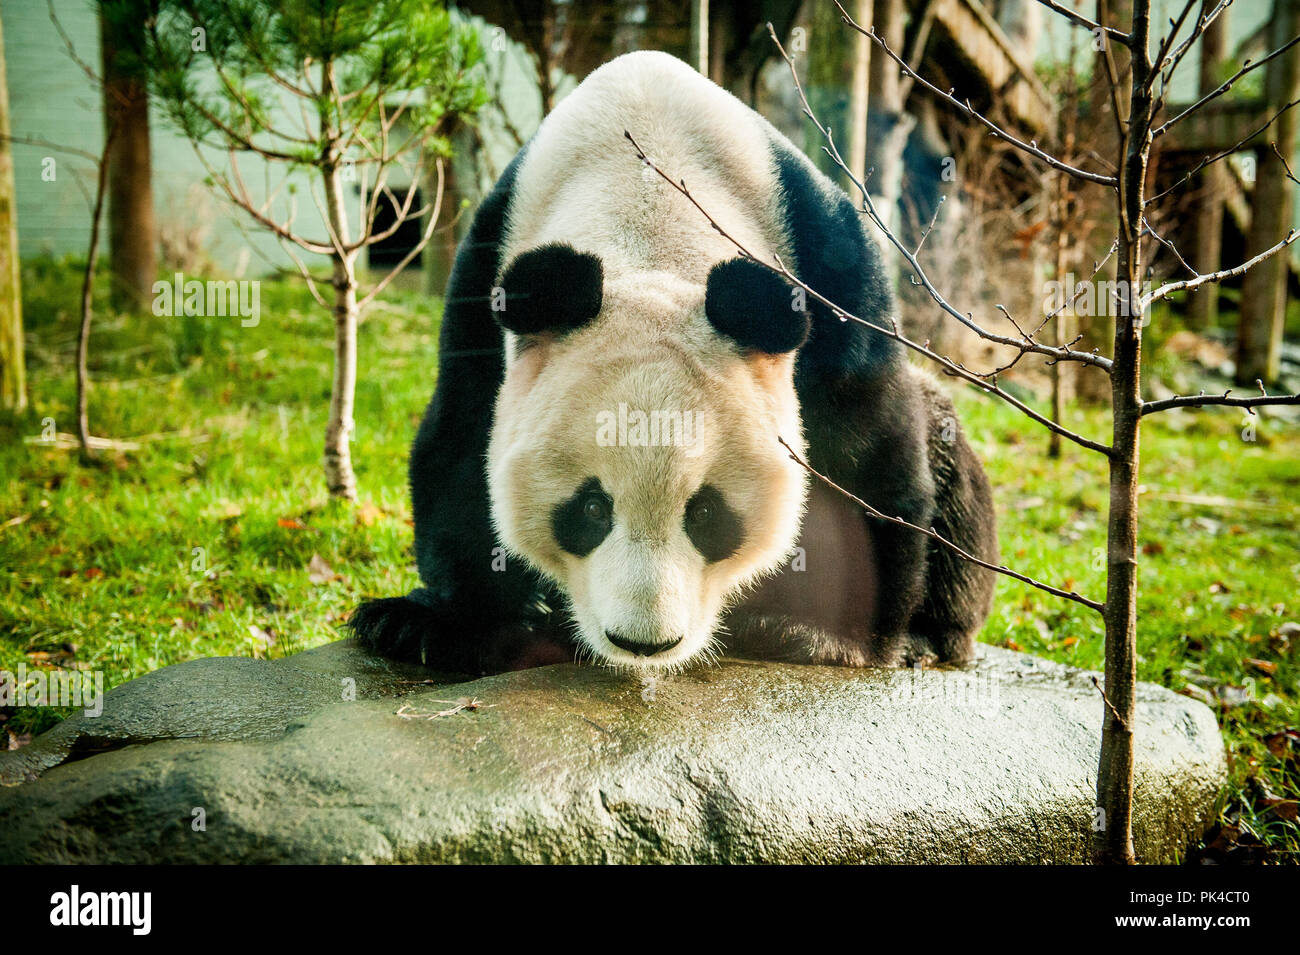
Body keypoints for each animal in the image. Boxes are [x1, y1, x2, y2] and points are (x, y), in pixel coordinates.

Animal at [349, 51, 998, 674]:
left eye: (707, 514)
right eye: (590, 509)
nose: (642, 643)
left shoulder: (827, 258)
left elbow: (866, 440)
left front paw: (827, 635)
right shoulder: (489, 266)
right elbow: (463, 430)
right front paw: (439, 625)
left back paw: (922, 634)